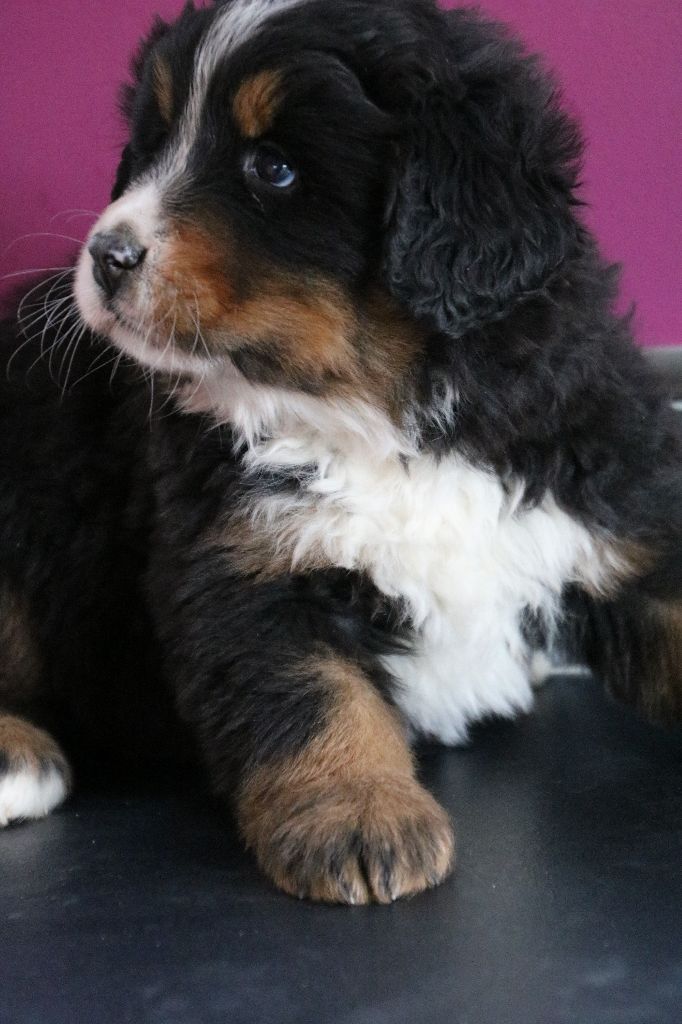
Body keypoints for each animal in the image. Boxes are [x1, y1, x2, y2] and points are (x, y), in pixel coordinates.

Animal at [0, 0, 680, 904]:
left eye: (273, 168)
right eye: (151, 144)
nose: (107, 258)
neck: (384, 417)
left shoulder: (609, 494)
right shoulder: (242, 565)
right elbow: (315, 697)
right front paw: (358, 815)